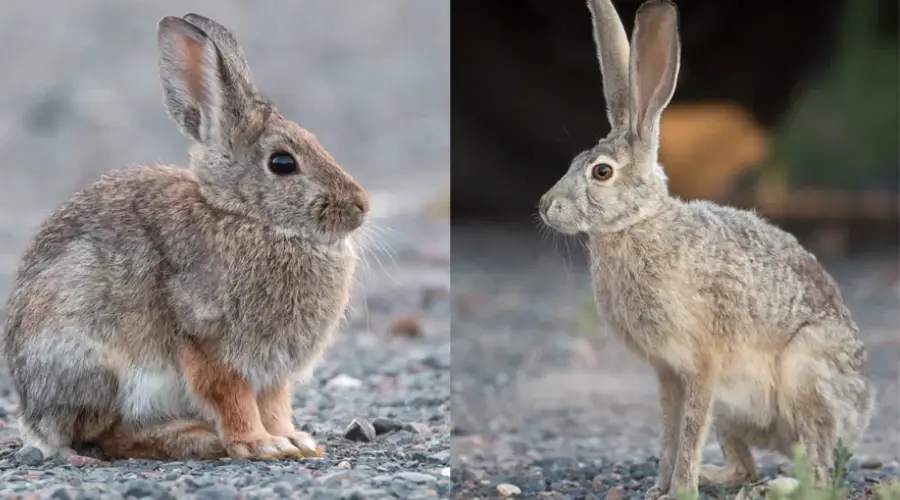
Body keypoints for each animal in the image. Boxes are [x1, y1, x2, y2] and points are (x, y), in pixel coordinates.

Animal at [1, 13, 369, 462]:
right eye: (282, 163)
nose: (361, 206)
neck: (245, 216)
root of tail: (32, 416)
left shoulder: (272, 370)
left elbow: (275, 403)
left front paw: (293, 440)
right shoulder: (207, 340)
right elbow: (231, 396)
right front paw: (258, 444)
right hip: (92, 360)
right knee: (105, 435)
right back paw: (197, 437)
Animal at [538, 0, 873, 496]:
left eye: (601, 172)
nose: (545, 206)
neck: (640, 223)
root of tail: (861, 415)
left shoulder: (703, 363)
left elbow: (690, 428)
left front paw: (680, 489)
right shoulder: (667, 373)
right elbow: (669, 429)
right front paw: (659, 487)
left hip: (805, 375)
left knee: (818, 470)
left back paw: (776, 486)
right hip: (733, 415)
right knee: (746, 464)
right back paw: (723, 477)